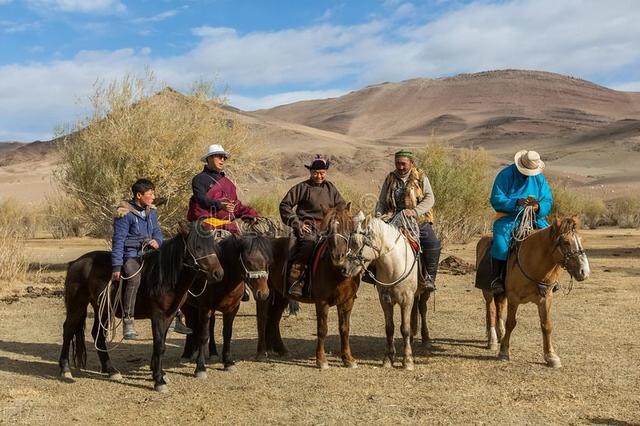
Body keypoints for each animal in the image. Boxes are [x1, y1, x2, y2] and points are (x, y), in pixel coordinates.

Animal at [57, 221, 226, 392]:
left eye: (213, 246)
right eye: (197, 247)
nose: (219, 274)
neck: (163, 277)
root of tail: (75, 263)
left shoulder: (169, 316)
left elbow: (162, 343)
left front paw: (160, 374)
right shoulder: (157, 316)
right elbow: (159, 346)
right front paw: (159, 381)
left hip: (103, 310)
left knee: (97, 335)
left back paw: (111, 370)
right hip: (77, 306)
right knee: (68, 330)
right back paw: (65, 369)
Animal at [179, 233, 272, 376]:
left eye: (266, 261)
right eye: (248, 261)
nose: (264, 293)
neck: (224, 278)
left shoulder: (232, 309)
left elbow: (227, 333)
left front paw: (228, 362)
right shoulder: (205, 308)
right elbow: (203, 335)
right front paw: (200, 367)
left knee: (209, 326)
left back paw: (212, 352)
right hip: (188, 306)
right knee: (191, 323)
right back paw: (187, 353)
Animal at [256, 205, 364, 368]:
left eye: (348, 227)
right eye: (328, 229)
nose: (338, 256)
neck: (337, 272)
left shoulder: (347, 302)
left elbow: (345, 329)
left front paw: (348, 359)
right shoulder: (322, 302)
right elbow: (322, 329)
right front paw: (321, 360)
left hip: (281, 296)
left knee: (274, 319)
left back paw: (280, 349)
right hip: (264, 293)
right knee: (262, 319)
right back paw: (261, 353)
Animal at [344, 213, 420, 370]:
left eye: (358, 243)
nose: (345, 269)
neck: (394, 267)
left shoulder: (407, 300)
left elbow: (405, 328)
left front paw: (408, 360)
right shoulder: (385, 300)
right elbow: (389, 328)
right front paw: (388, 358)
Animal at [476, 216, 592, 366]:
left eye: (580, 239)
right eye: (566, 242)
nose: (584, 272)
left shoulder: (546, 299)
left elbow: (546, 325)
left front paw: (551, 356)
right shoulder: (514, 299)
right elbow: (511, 323)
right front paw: (504, 351)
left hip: (501, 294)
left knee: (499, 309)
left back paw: (500, 335)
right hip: (488, 293)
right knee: (490, 311)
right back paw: (492, 340)